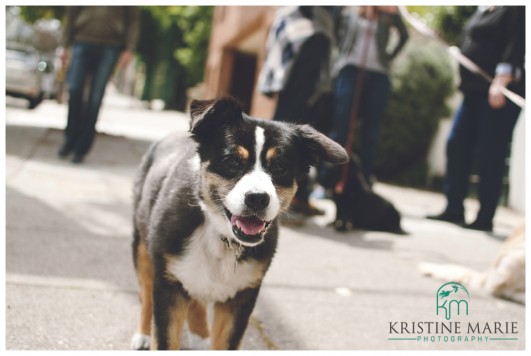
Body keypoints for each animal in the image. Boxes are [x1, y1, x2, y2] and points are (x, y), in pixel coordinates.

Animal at [129, 96, 350, 350]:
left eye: (280, 167)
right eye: (232, 161)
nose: (257, 198)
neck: (222, 236)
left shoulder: (241, 296)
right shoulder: (168, 284)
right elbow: (164, 335)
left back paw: (200, 336)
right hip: (142, 247)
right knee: (146, 291)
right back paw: (143, 335)